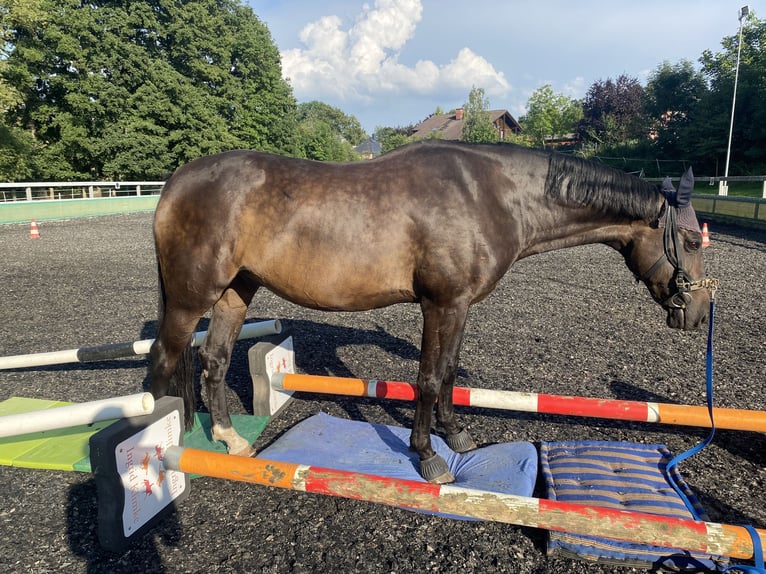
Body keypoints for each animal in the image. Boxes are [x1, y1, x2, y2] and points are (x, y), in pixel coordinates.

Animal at [150, 142, 712, 484]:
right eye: (689, 240)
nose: (700, 313)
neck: (492, 193)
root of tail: (175, 181)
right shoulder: (441, 304)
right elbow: (426, 378)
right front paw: (427, 455)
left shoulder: (460, 307)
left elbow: (448, 372)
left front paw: (454, 433)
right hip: (190, 299)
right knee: (161, 365)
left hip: (234, 292)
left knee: (215, 361)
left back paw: (229, 440)